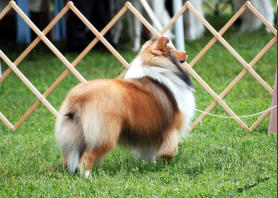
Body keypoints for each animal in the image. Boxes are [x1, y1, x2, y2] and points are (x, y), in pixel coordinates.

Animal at [55, 37, 195, 178]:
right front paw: (167, 164)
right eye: (171, 49)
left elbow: (149, 152)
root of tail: (79, 97)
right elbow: (170, 150)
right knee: (87, 158)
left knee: (69, 158)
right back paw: (87, 176)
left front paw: (150, 165)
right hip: (105, 135)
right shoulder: (171, 128)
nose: (186, 52)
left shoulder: (149, 132)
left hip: (73, 134)